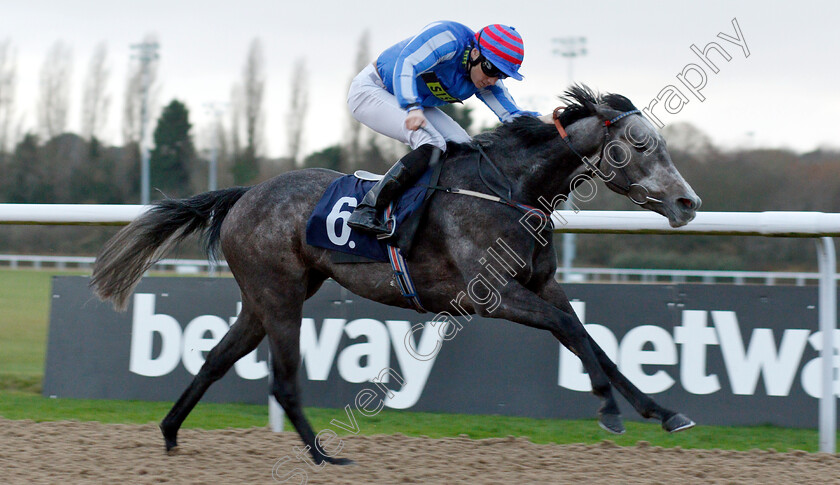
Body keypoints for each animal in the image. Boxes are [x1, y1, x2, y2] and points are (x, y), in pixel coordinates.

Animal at [88, 85, 700, 464]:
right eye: (641, 144)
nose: (688, 203)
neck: (508, 189)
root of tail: (245, 195)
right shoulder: (491, 295)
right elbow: (571, 331)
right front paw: (610, 412)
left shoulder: (541, 284)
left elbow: (592, 342)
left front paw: (664, 412)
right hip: (279, 295)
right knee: (282, 381)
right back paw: (324, 456)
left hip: (267, 296)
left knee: (217, 359)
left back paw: (170, 433)